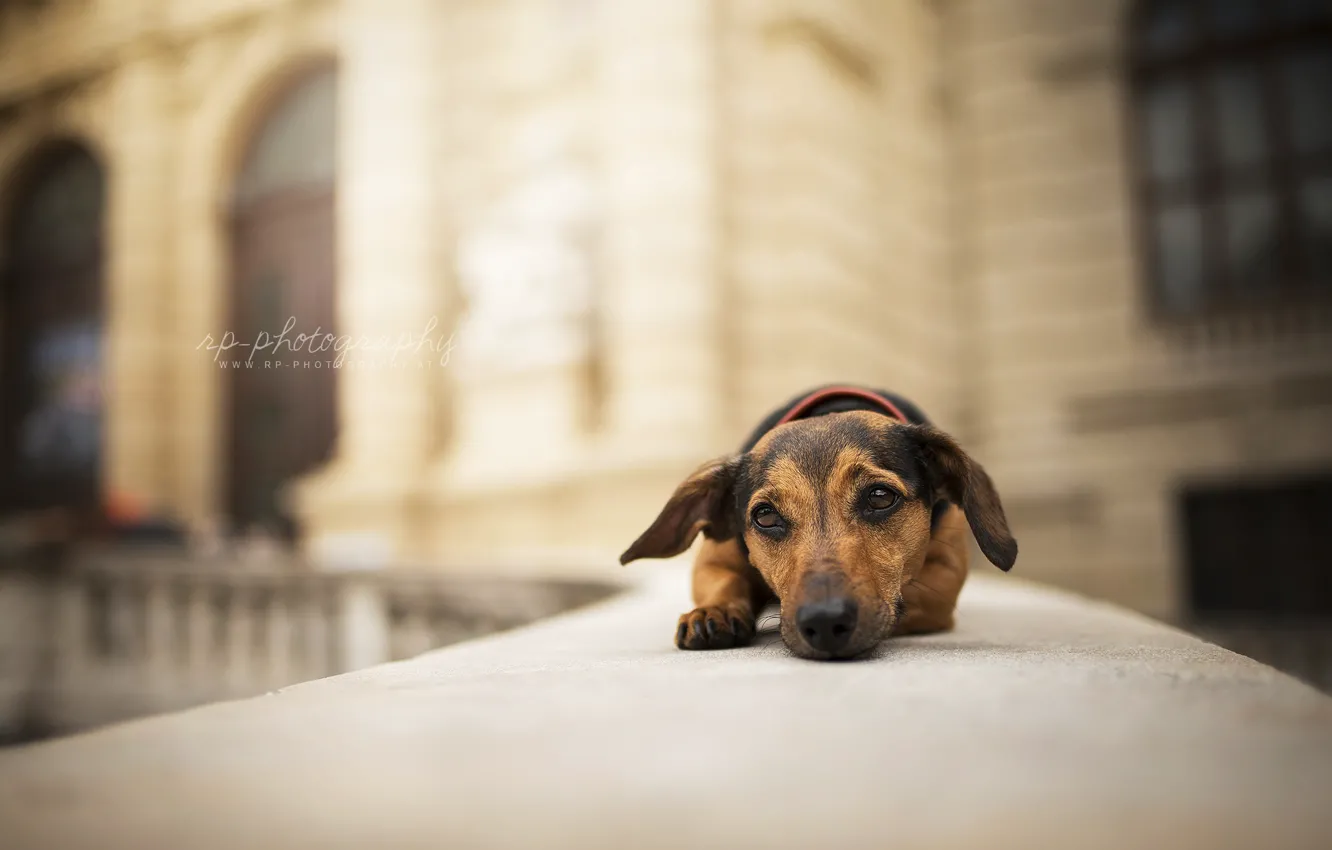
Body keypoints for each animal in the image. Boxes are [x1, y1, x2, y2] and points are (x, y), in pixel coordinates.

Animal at [618, 383, 1012, 660]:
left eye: (880, 497)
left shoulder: (941, 582)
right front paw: (715, 610)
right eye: (765, 516)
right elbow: (723, 581)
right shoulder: (716, 557)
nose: (824, 622)